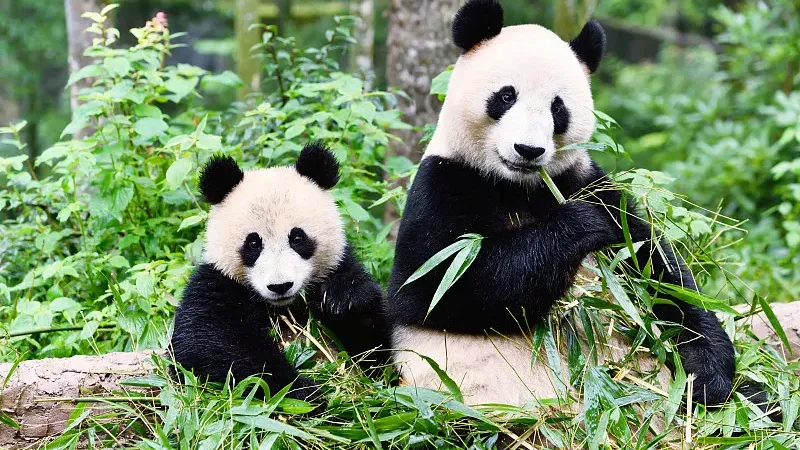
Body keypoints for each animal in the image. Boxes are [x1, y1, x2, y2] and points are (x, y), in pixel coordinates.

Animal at [171, 143, 387, 402]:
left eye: (297, 238)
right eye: (253, 243)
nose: (280, 286)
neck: (284, 307)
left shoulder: (338, 266)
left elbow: (379, 350)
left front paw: (345, 299)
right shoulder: (216, 283)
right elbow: (209, 341)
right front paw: (303, 391)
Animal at [386, 0, 737, 408]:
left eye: (558, 108)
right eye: (506, 96)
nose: (528, 150)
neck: (516, 185)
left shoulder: (588, 181)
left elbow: (660, 276)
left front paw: (708, 374)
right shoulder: (444, 184)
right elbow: (441, 288)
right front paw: (582, 224)